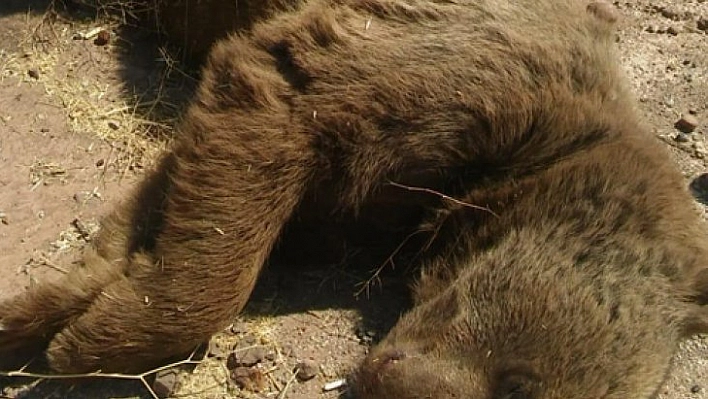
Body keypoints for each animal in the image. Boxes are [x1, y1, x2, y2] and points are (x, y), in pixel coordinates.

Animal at [1, 0, 708, 398]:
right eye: (517, 387)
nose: (383, 384)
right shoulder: (421, 74)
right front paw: (76, 343)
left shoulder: (364, 210)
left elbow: (160, 211)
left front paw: (57, 309)